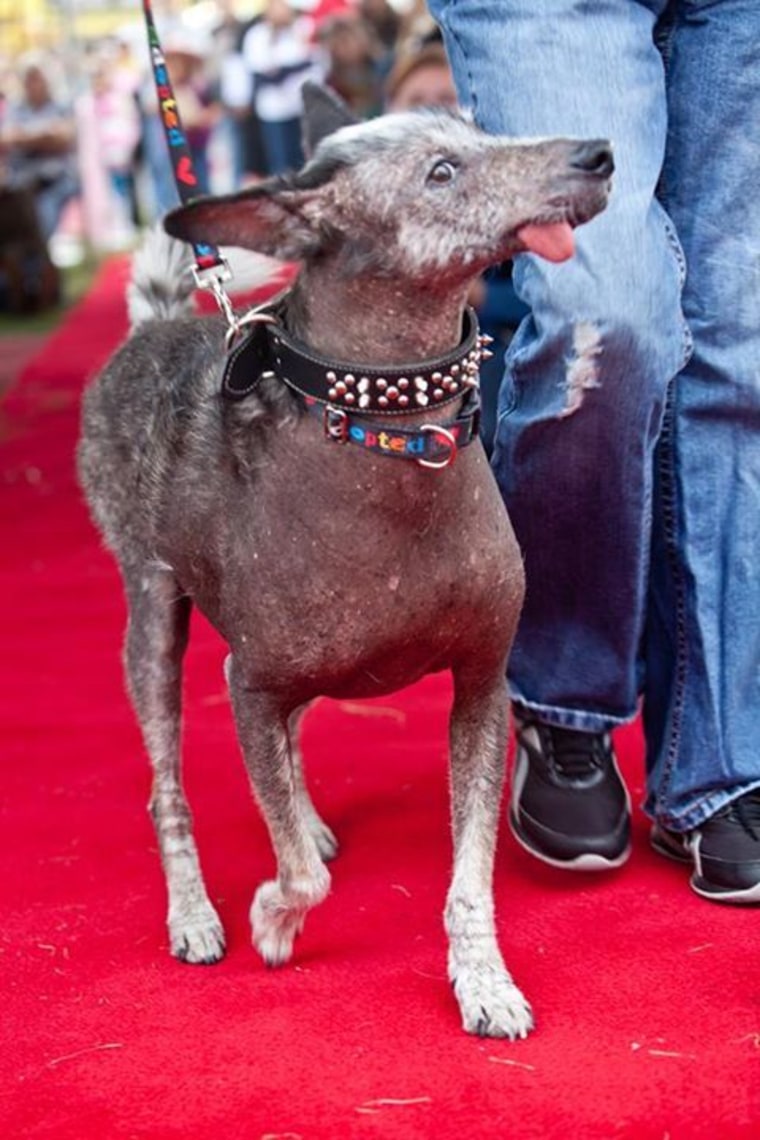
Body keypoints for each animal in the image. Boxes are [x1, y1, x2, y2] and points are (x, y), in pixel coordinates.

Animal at [77, 84, 610, 1039]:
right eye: (442, 172)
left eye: (479, 132)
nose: (598, 154)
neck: (390, 436)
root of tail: (158, 325)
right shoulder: (247, 685)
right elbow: (303, 875)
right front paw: (273, 919)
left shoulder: (481, 687)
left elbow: (470, 873)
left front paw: (483, 979)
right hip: (153, 622)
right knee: (166, 787)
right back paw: (194, 910)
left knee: (289, 745)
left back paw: (303, 815)